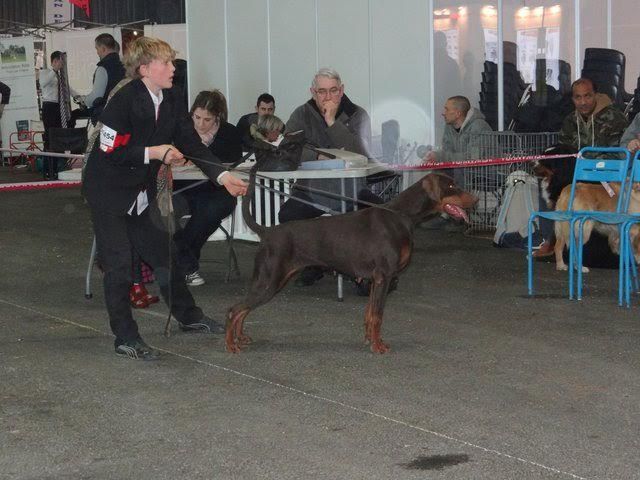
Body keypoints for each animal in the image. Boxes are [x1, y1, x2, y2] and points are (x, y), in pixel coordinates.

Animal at [228, 169, 478, 352]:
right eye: (452, 186)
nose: (476, 199)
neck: (402, 216)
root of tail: (267, 232)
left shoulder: (375, 280)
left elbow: (369, 313)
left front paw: (370, 340)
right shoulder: (384, 276)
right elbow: (378, 315)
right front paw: (378, 347)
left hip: (269, 281)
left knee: (242, 309)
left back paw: (241, 338)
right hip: (270, 281)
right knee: (235, 309)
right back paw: (231, 345)